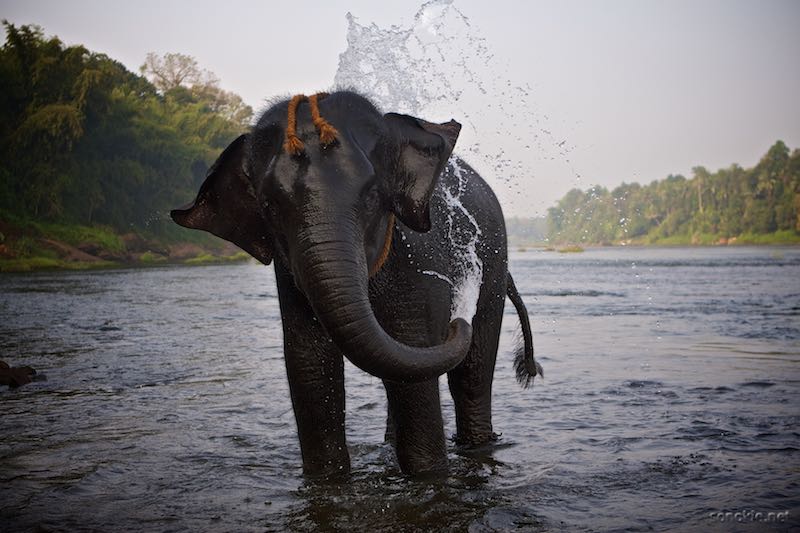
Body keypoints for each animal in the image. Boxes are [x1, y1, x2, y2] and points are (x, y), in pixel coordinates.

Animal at [172, 91, 540, 478]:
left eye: (372, 195)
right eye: (270, 206)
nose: (457, 317)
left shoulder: (418, 263)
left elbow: (414, 353)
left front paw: (427, 473)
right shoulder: (290, 280)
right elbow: (309, 365)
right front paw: (327, 479)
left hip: (495, 264)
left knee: (470, 374)